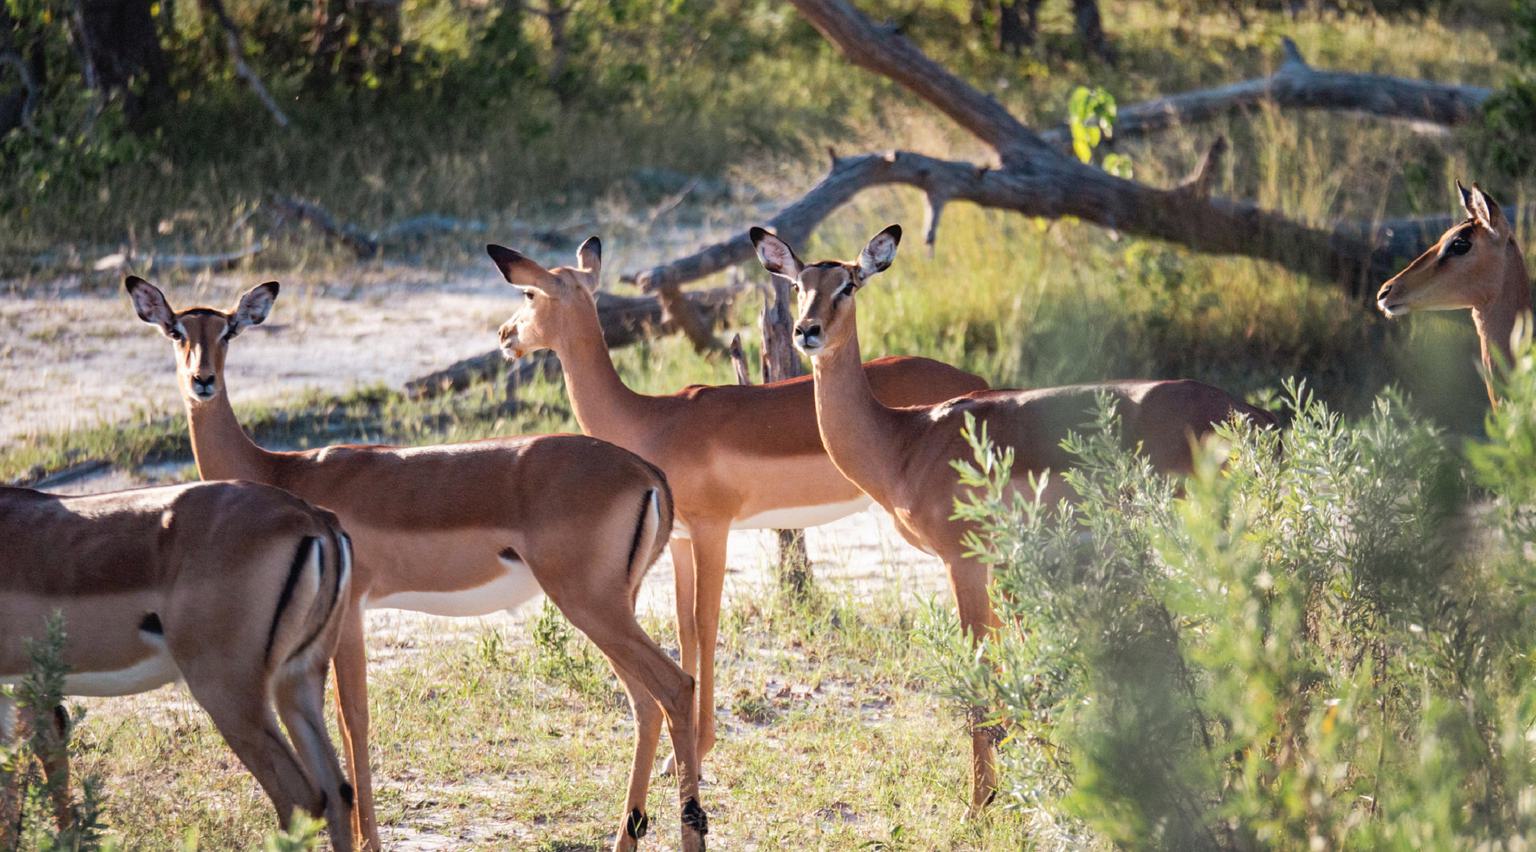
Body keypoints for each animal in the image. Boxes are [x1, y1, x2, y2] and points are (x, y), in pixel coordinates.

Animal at [124, 278, 707, 852]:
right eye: (177, 330)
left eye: (228, 330)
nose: (202, 380)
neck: (282, 472)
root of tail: (646, 472)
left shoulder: (349, 614)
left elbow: (353, 719)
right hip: (610, 607)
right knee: (645, 702)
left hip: (591, 605)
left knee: (675, 687)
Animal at [486, 237, 989, 771]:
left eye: (530, 292)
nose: (505, 335)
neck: (648, 418)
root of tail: (976, 380)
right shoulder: (680, 539)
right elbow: (685, 628)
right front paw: (678, 755)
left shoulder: (714, 528)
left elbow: (707, 625)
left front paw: (699, 749)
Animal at [750, 224, 1276, 811]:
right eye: (799, 285)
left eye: (848, 284)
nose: (807, 331)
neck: (905, 440)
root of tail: (1252, 417)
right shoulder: (1001, 567)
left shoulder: (964, 562)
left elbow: (979, 670)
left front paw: (978, 802)